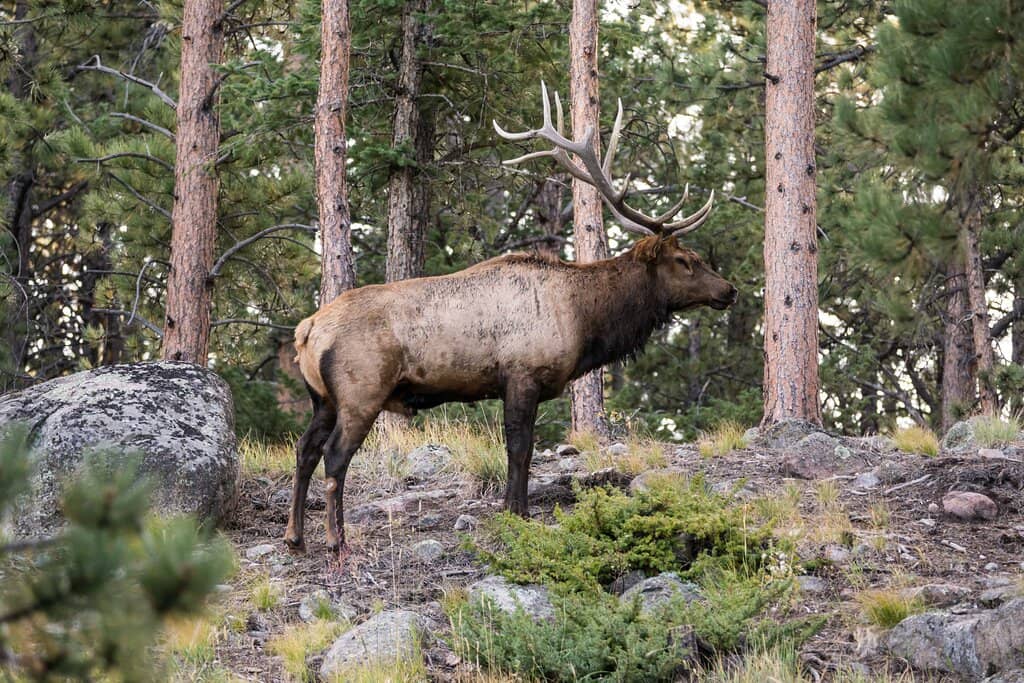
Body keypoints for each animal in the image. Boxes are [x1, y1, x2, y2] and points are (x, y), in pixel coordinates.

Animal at [284, 83, 737, 554]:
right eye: (685, 260)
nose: (729, 290)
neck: (583, 320)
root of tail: (306, 331)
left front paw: (514, 509)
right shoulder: (522, 374)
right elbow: (521, 448)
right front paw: (516, 512)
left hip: (323, 398)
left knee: (304, 450)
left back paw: (295, 536)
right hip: (361, 390)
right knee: (335, 455)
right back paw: (335, 539)